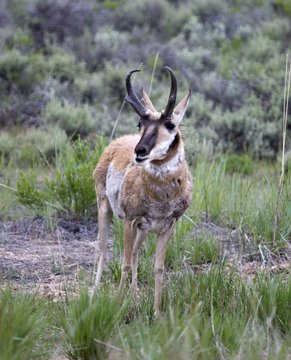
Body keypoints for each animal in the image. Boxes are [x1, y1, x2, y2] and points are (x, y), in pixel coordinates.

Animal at [93, 67, 193, 316]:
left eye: (170, 125)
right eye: (140, 124)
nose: (140, 151)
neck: (161, 196)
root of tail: (116, 143)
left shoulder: (166, 225)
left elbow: (158, 268)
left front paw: (157, 312)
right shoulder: (130, 220)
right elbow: (125, 264)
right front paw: (117, 305)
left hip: (144, 230)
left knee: (137, 253)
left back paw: (135, 296)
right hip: (105, 209)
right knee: (102, 249)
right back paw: (94, 294)